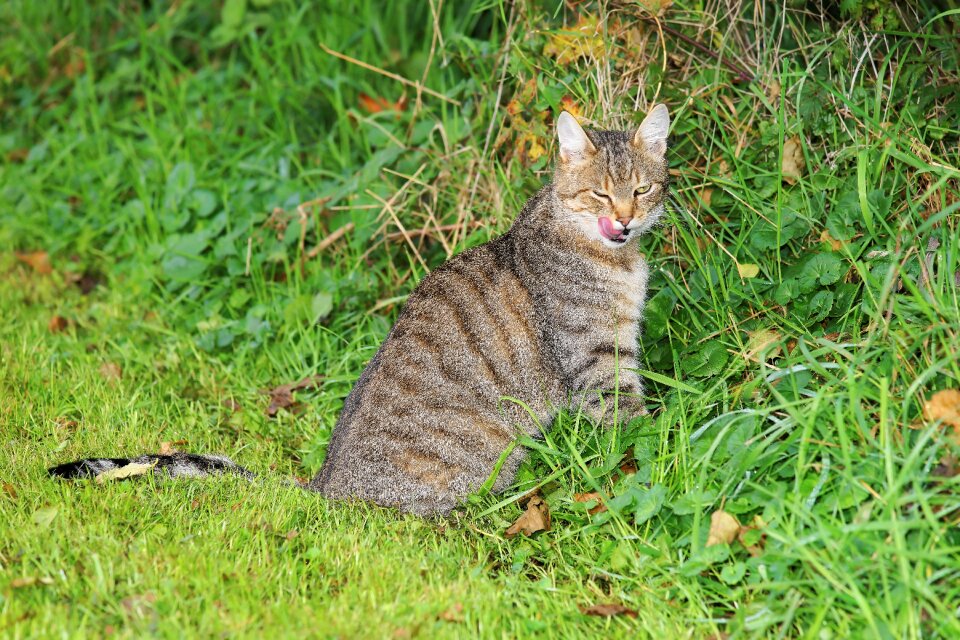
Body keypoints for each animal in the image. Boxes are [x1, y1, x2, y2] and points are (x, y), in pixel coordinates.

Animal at [48, 104, 672, 516]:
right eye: (600, 193)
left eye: (641, 191)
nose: (624, 220)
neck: (615, 260)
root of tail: (326, 483)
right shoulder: (596, 360)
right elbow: (631, 426)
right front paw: (653, 448)